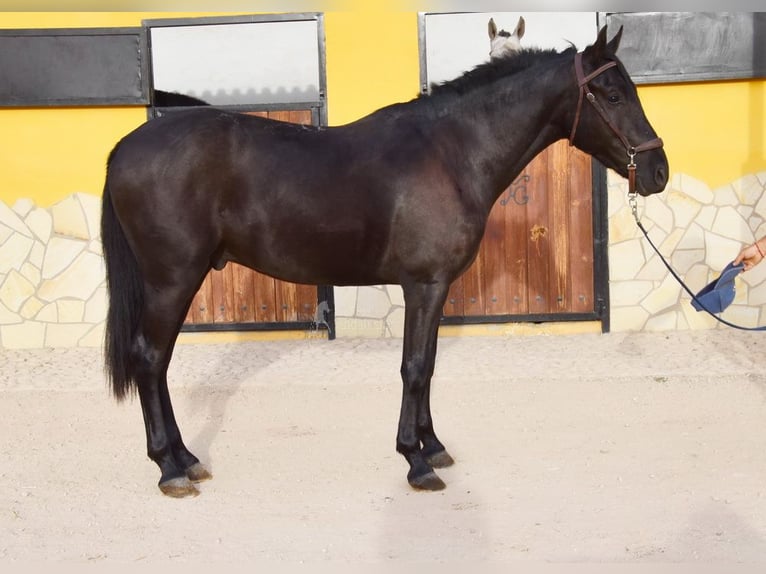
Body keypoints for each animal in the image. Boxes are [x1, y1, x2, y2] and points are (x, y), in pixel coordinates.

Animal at [100, 24, 664, 498]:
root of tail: (125, 146)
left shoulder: (436, 287)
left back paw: (186, 458)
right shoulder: (424, 284)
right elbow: (414, 367)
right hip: (172, 279)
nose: (658, 170)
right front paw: (416, 461)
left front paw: (433, 446)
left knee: (159, 362)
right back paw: (169, 468)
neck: (450, 153)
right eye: (614, 95)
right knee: (150, 358)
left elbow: (429, 364)